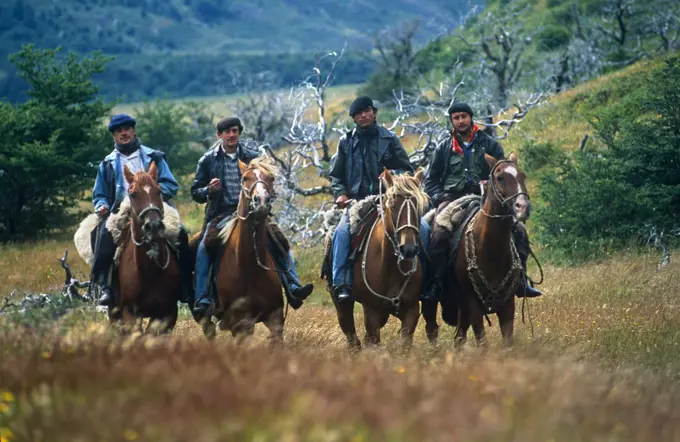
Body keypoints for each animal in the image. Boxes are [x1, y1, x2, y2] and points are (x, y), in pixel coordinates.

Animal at [114, 164, 183, 334]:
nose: (154, 226)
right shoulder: (129, 312)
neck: (149, 272)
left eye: (158, 190)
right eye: (133, 194)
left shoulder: (168, 312)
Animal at [202, 159, 286, 342]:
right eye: (245, 178)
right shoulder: (240, 324)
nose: (261, 201)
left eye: (271, 178)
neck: (249, 267)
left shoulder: (275, 318)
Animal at [332, 169, 428, 352]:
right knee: (352, 336)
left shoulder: (411, 309)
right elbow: (372, 341)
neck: (391, 266)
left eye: (419, 207)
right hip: (341, 304)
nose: (409, 249)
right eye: (393, 205)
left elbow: (405, 343)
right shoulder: (372, 310)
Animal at [420, 154, 532, 348]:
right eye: (499, 177)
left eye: (522, 176)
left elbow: (508, 339)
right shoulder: (471, 302)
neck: (491, 250)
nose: (523, 207)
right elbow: (482, 340)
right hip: (431, 302)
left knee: (459, 336)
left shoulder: (508, 303)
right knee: (432, 328)